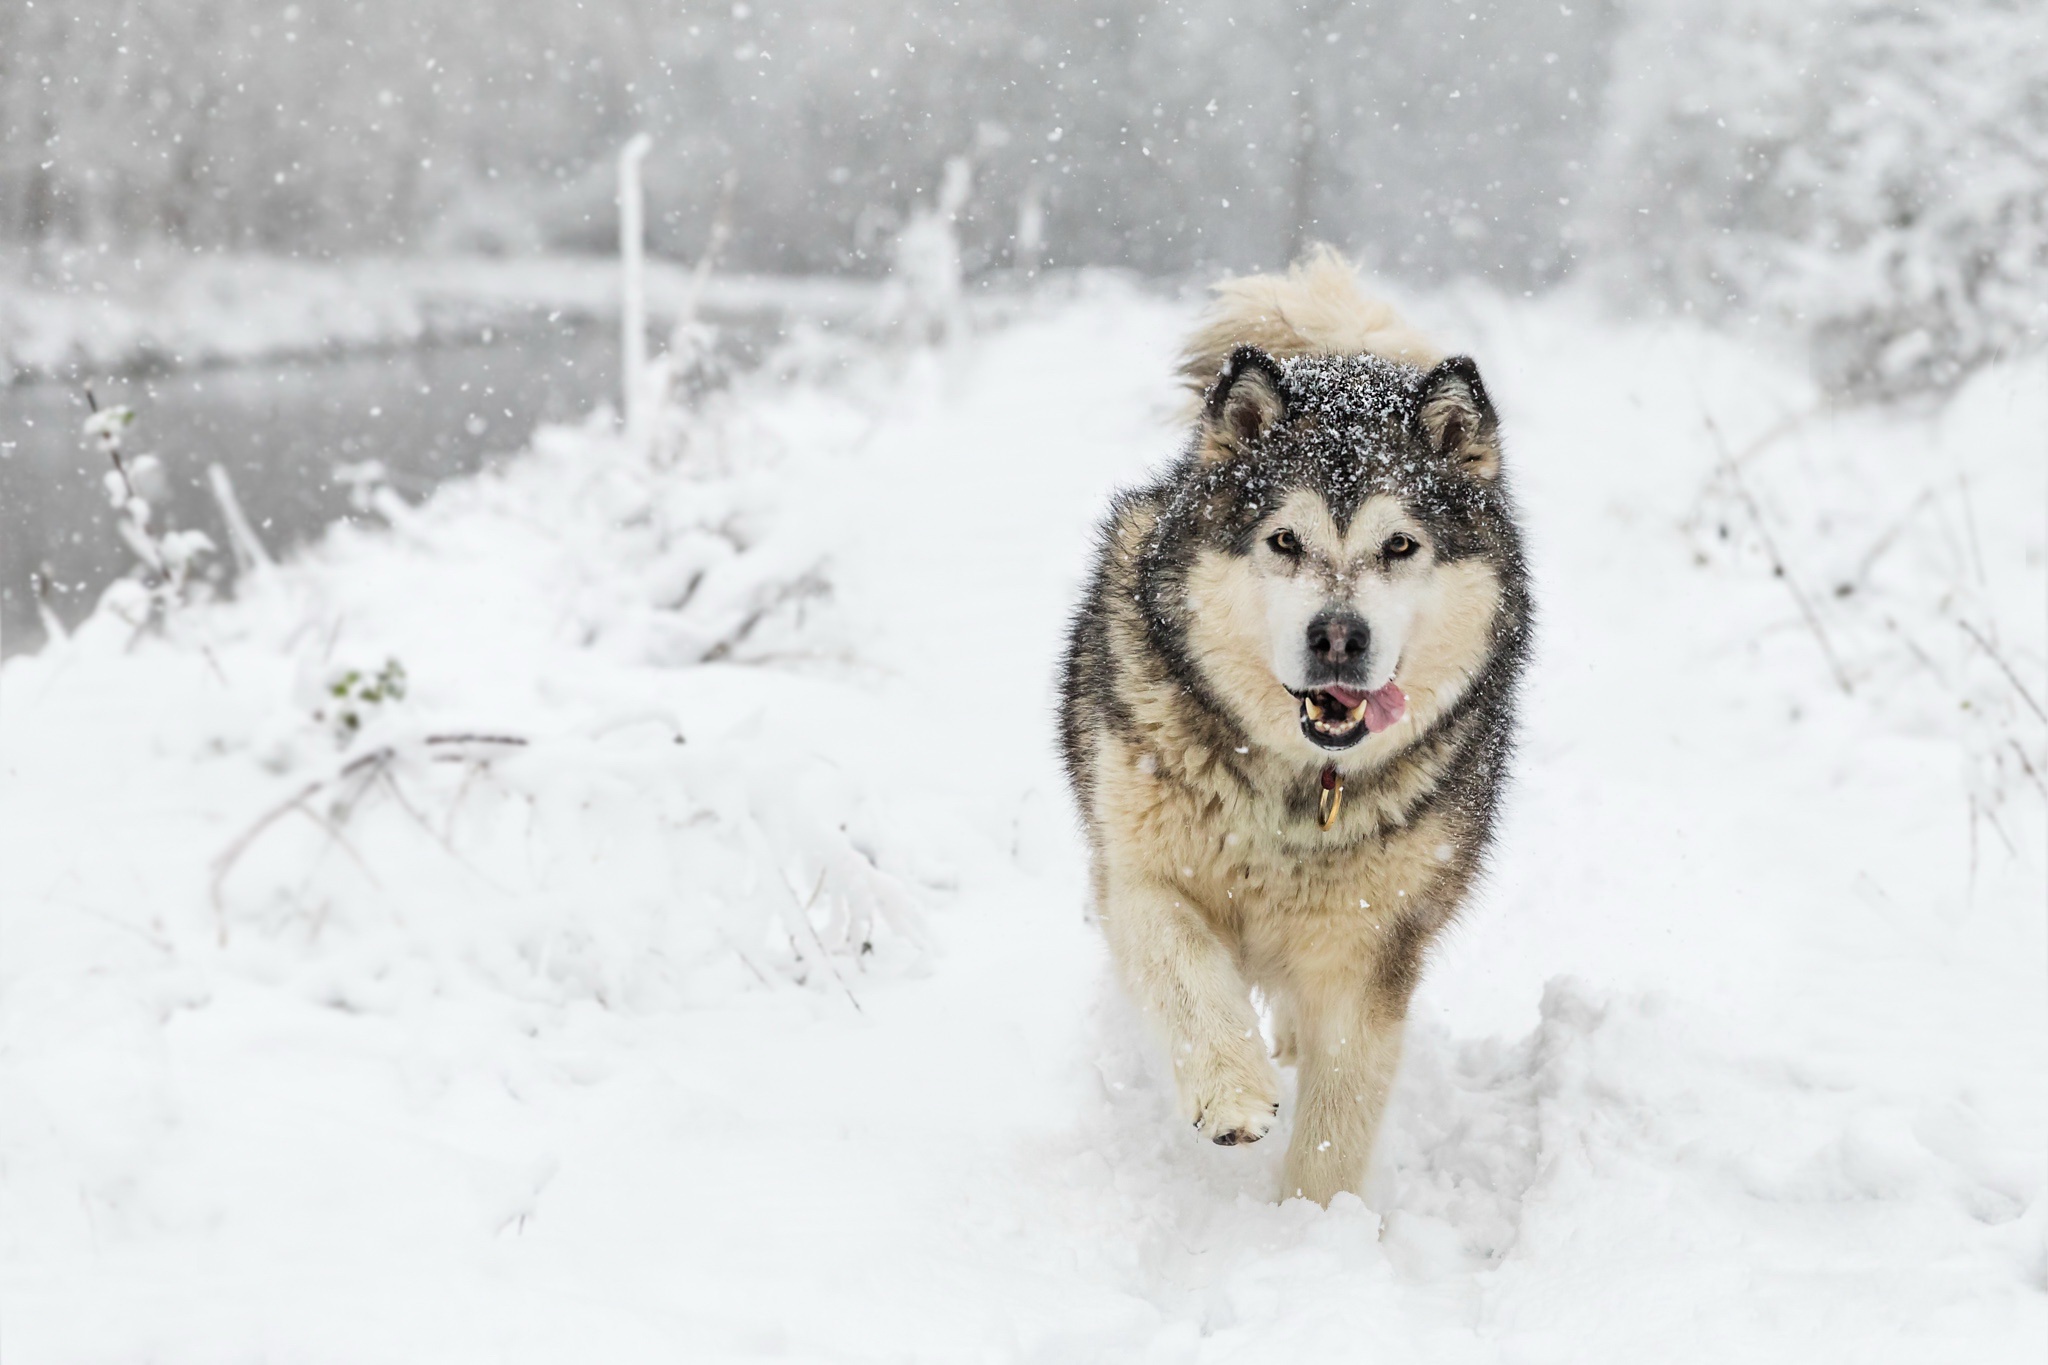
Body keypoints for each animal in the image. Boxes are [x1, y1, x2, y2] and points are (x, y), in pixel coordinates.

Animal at [1064, 248, 1531, 1203]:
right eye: (1284, 540)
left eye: (1400, 545)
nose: (1339, 636)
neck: (1290, 785)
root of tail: (1341, 357)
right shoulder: (1140, 873)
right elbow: (1185, 969)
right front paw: (1232, 1091)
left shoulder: (1370, 950)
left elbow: (1336, 1116)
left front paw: (1314, 1225)